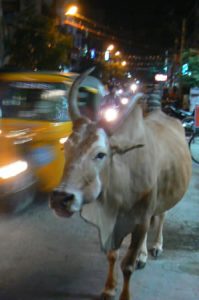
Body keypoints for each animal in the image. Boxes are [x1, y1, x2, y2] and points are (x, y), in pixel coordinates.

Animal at [49, 68, 192, 300]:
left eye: (101, 154)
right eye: (66, 148)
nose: (61, 198)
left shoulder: (141, 220)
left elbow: (127, 265)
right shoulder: (111, 221)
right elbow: (112, 255)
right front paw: (109, 288)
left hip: (164, 196)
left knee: (161, 217)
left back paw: (155, 246)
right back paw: (143, 254)